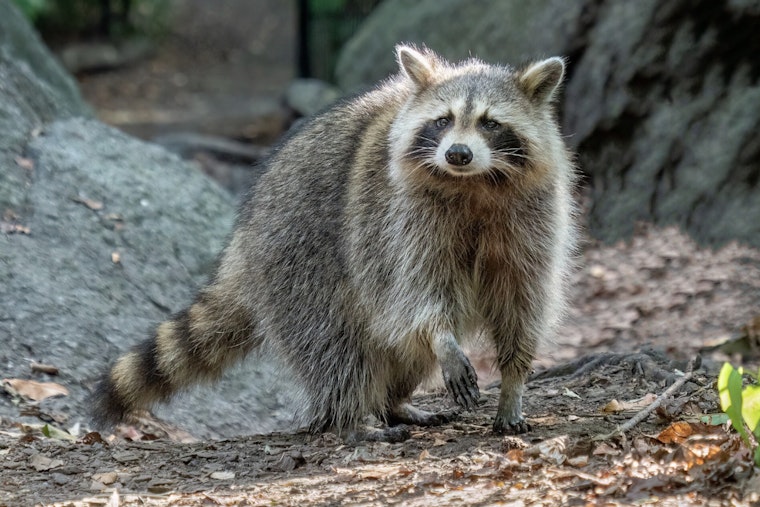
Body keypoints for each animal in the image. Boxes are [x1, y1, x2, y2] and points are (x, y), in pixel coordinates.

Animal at [93, 44, 577, 438]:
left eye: (490, 123)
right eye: (443, 121)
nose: (457, 153)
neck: (474, 183)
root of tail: (243, 240)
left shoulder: (532, 219)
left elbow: (522, 299)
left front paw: (513, 382)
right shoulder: (398, 219)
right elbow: (417, 290)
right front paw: (442, 337)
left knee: (399, 349)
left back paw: (394, 402)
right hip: (298, 257)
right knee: (336, 342)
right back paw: (351, 416)